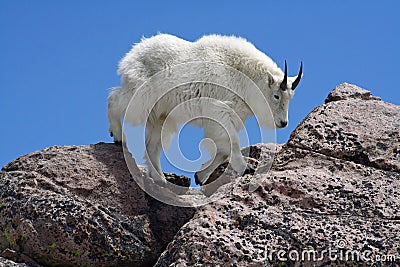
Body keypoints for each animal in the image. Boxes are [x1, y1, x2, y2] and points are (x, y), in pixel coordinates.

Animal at [108, 33, 302, 186]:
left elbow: (223, 150)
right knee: (115, 100)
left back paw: (160, 179)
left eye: (290, 98)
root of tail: (134, 51)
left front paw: (200, 176)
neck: (245, 77)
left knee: (152, 146)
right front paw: (246, 168)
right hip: (143, 94)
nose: (283, 123)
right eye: (276, 96)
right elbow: (232, 142)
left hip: (164, 114)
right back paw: (117, 135)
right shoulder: (219, 110)